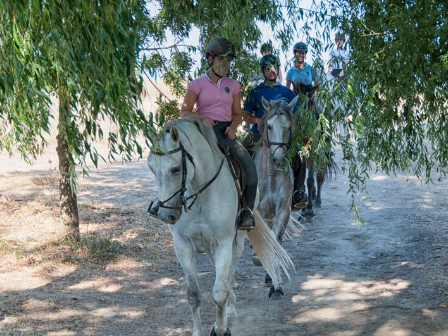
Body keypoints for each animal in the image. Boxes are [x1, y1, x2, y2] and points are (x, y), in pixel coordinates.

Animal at [147, 118, 294, 336]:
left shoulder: (224, 243)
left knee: (229, 273)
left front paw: (220, 329)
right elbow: (193, 294)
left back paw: (230, 309)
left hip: (237, 240)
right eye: (151, 168)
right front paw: (197, 332)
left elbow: (219, 292)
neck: (200, 192)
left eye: (175, 169)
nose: (167, 215)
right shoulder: (182, 245)